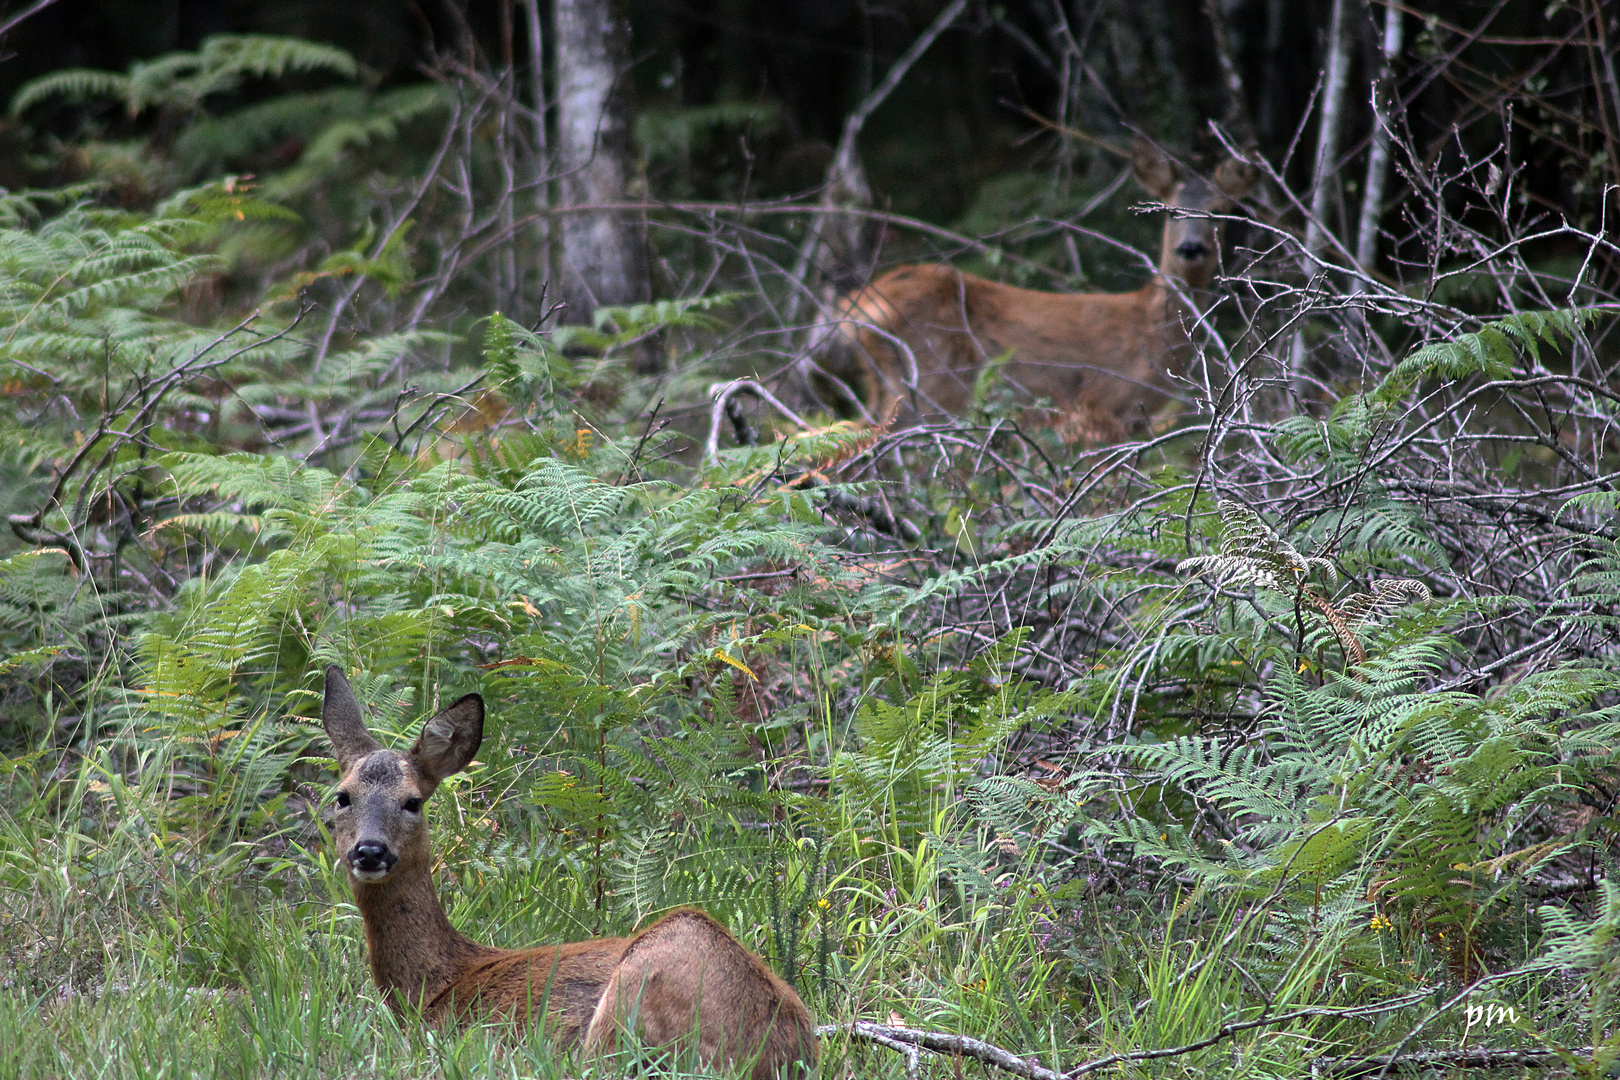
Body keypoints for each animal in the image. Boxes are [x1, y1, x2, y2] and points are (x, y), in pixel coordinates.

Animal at [320, 663, 816, 1075]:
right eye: (342, 797)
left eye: (413, 802)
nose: (369, 851)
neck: (436, 985)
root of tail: (781, 1051)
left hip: (641, 984)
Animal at [842, 143, 1257, 443]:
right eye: (1171, 212)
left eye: (1219, 211)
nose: (1190, 249)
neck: (1153, 327)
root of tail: (857, 306)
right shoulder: (1101, 404)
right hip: (930, 381)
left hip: (886, 384)